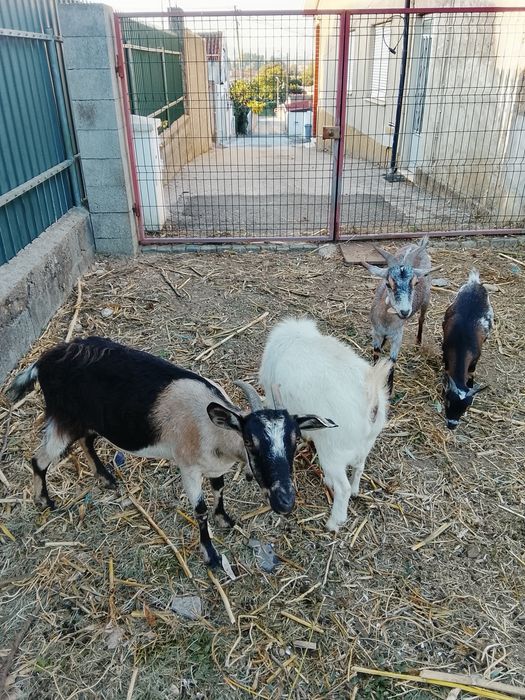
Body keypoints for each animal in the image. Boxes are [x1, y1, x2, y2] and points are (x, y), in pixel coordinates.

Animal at [7, 337, 335, 568]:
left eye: (294, 441)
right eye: (250, 441)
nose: (285, 502)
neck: (213, 429)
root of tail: (43, 362)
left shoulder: (214, 467)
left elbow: (220, 489)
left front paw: (224, 519)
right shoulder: (187, 466)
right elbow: (199, 510)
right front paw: (211, 555)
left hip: (88, 419)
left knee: (86, 441)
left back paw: (106, 479)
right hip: (63, 417)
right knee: (39, 459)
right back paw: (45, 501)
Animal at [259, 318, 391, 532]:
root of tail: (370, 396)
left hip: (332, 454)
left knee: (343, 488)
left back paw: (333, 522)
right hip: (366, 443)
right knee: (359, 466)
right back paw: (355, 490)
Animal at [364, 236, 432, 394]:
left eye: (415, 283)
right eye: (388, 284)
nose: (405, 312)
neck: (387, 321)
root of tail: (416, 245)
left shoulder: (398, 336)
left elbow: (392, 360)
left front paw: (389, 390)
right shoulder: (376, 332)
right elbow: (376, 354)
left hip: (426, 298)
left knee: (422, 318)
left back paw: (418, 341)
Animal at [442, 270, 493, 430]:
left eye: (466, 408)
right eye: (448, 401)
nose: (451, 425)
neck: (462, 344)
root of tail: (475, 283)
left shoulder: (475, 358)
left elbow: (471, 372)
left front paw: (470, 383)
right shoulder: (445, 353)